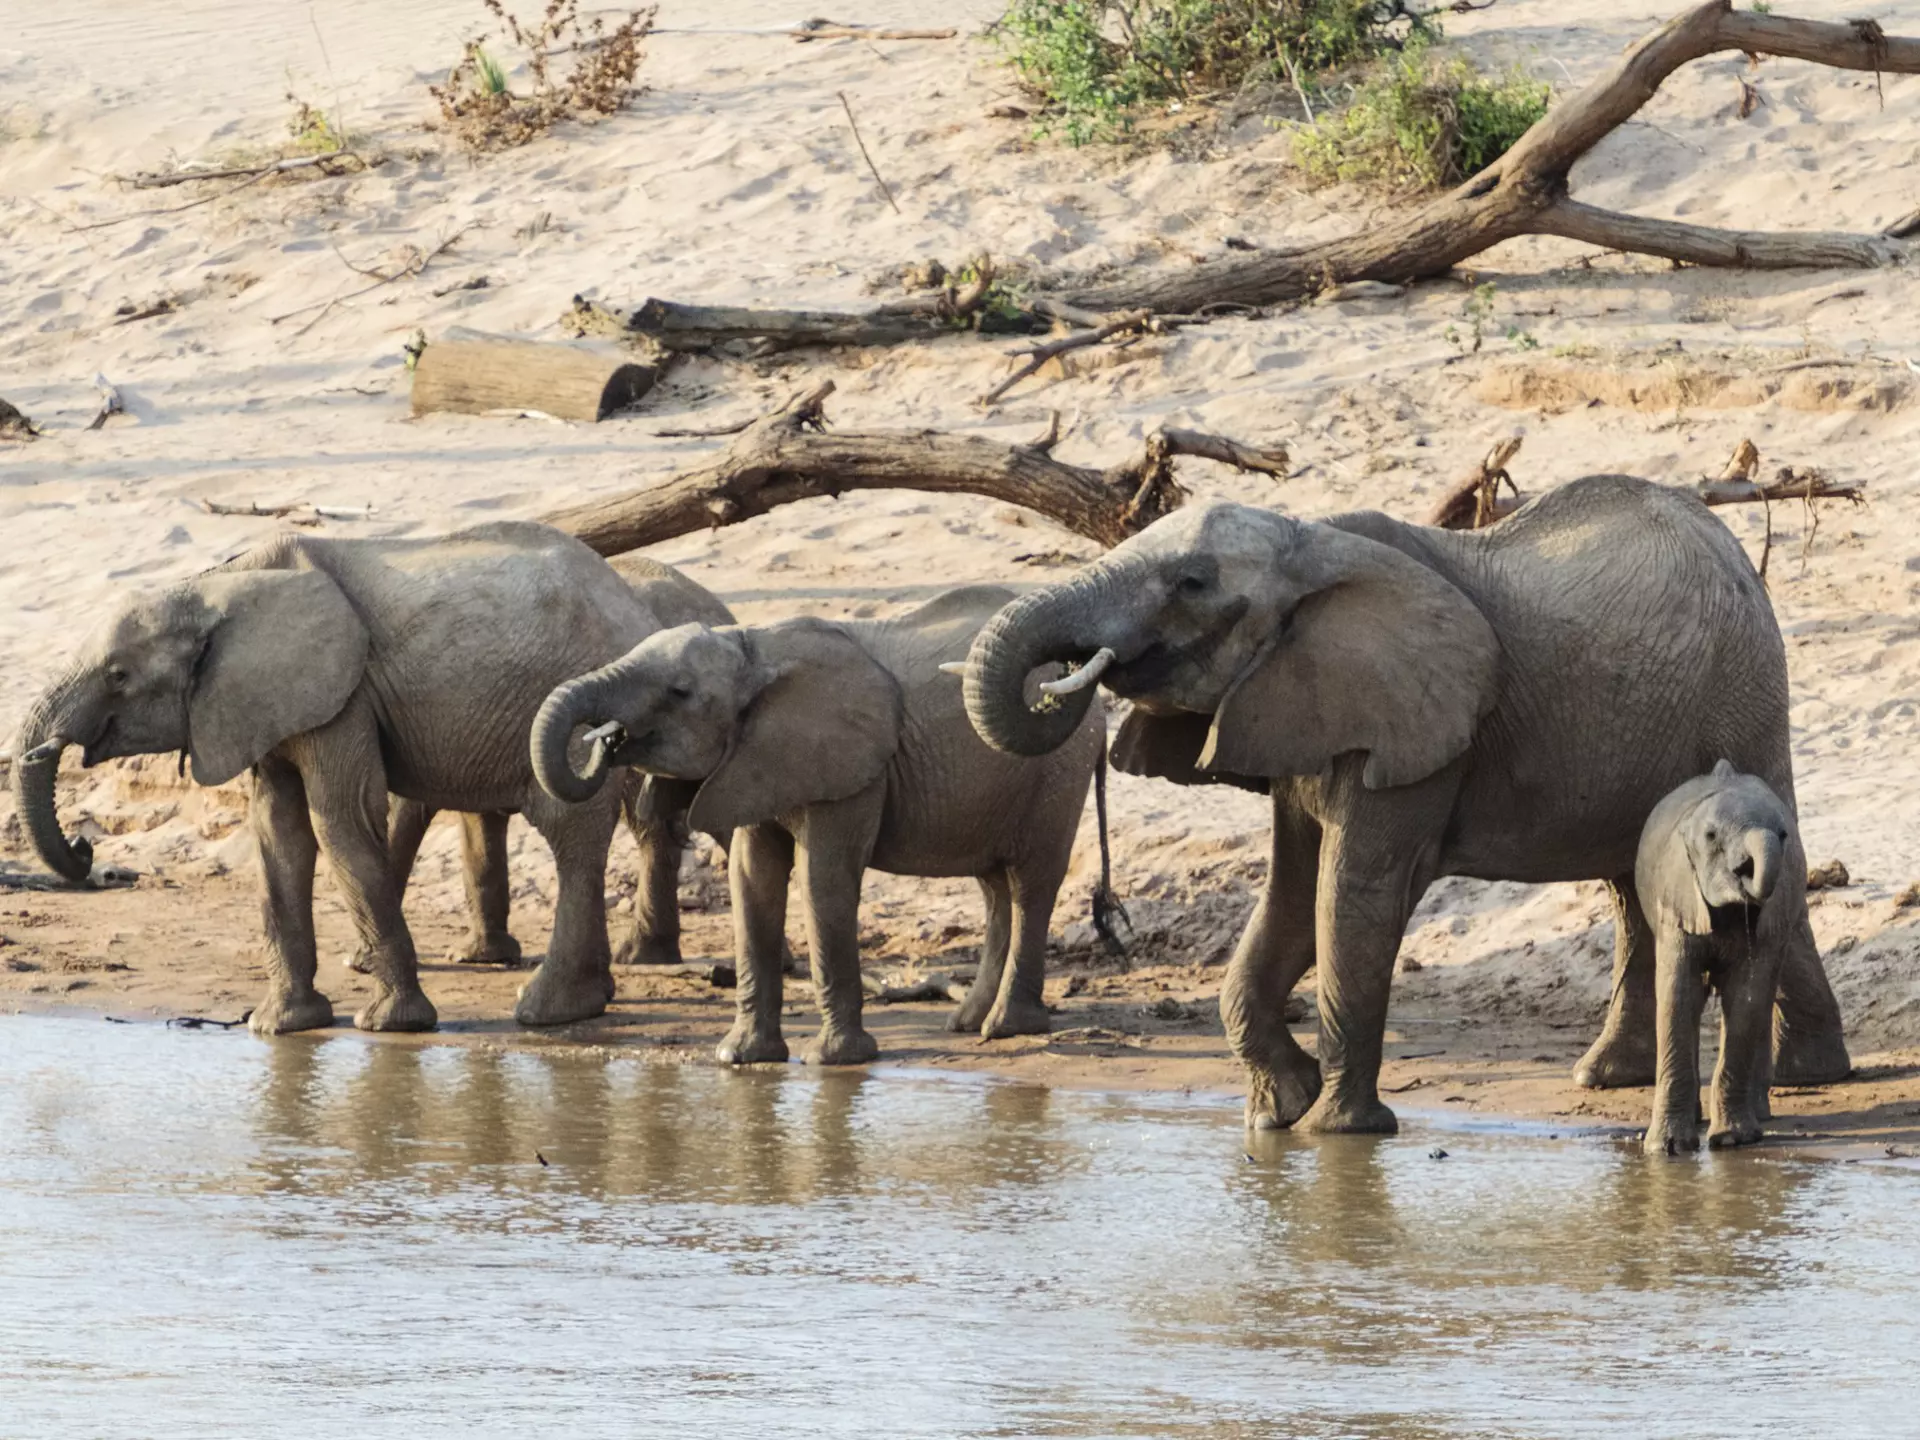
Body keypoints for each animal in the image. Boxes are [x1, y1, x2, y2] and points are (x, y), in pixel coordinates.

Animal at [355, 552, 733, 974]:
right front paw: (483, 956)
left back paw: (642, 955)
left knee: (652, 824)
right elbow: (477, 823)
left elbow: (398, 813)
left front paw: (360, 962)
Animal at [530, 585, 1110, 1064]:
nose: (606, 739)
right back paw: (967, 1024)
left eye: (679, 692)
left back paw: (1007, 1027)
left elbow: (822, 880)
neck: (753, 651)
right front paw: (741, 1058)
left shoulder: (849, 770)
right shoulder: (759, 761)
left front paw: (835, 1061)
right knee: (995, 889)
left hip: (1058, 768)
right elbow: (751, 881)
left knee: (1030, 883)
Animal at [1636, 761, 1799, 1155]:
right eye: (1711, 837)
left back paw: (1758, 1116)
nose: (1745, 871)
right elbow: (1678, 995)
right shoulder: (1676, 897)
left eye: (1783, 835)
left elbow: (1746, 996)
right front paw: (1667, 1149)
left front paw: (1732, 1140)